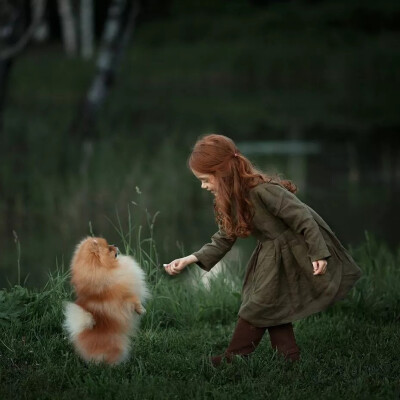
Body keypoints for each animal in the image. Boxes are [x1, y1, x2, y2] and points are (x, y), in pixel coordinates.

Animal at [63, 238, 149, 366]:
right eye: (109, 249)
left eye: (109, 244)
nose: (115, 244)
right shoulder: (124, 297)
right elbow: (134, 300)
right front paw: (141, 310)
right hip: (116, 346)